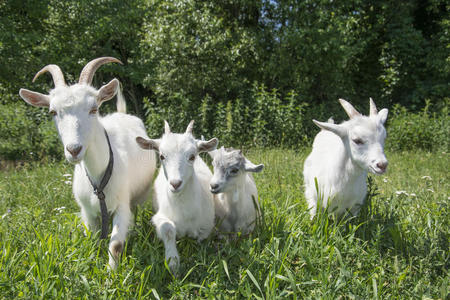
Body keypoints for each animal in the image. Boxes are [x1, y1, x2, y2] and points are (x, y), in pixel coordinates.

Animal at [18, 57, 156, 268]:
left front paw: (111, 273)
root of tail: (122, 113)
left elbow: (116, 244)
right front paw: (92, 263)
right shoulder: (87, 212)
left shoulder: (122, 205)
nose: (74, 149)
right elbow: (92, 239)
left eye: (94, 109)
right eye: (52, 112)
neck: (99, 178)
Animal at [135, 120, 218, 274]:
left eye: (192, 156)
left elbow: (201, 240)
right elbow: (168, 230)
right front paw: (173, 262)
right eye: (162, 156)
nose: (175, 183)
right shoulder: (160, 216)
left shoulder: (207, 224)